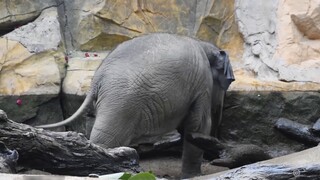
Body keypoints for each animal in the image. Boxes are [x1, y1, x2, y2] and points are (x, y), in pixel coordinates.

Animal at [37, 33, 234, 178]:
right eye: (227, 84)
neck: (204, 45)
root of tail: (98, 77)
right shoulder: (202, 83)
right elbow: (198, 125)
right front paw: (193, 176)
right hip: (121, 102)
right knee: (108, 137)